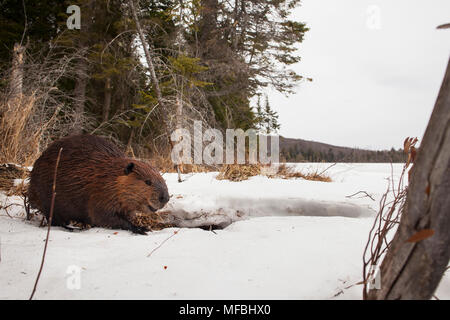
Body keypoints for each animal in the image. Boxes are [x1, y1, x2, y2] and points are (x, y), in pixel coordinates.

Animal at [28, 134, 170, 234]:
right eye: (148, 182)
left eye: (163, 180)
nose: (165, 198)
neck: (108, 177)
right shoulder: (101, 195)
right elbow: (103, 217)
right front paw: (141, 228)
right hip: (47, 197)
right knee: (54, 219)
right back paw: (71, 228)